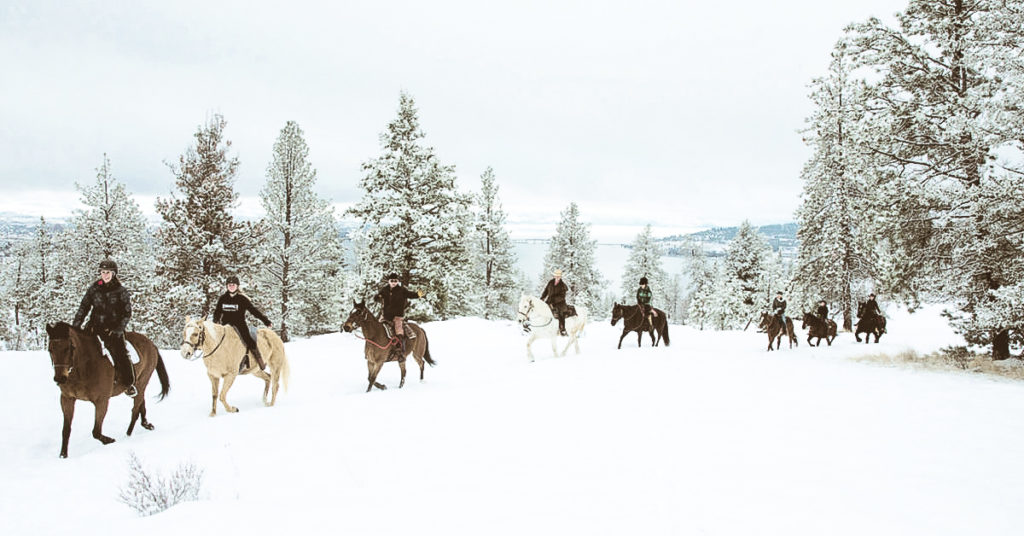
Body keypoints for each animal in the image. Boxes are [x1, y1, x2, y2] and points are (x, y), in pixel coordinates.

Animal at [46, 321, 168, 459]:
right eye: (50, 349)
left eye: (69, 348)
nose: (60, 378)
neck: (84, 366)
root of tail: (151, 344)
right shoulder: (67, 399)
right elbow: (66, 430)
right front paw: (63, 455)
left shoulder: (102, 401)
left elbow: (96, 431)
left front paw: (109, 440)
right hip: (138, 386)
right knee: (141, 402)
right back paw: (146, 424)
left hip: (143, 381)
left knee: (135, 410)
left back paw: (128, 434)